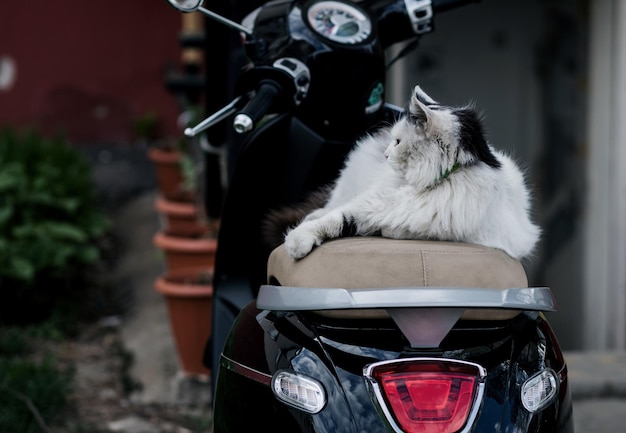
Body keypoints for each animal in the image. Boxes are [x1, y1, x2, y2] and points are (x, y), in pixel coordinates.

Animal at [262, 85, 536, 260]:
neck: (424, 186)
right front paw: (296, 242)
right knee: (328, 206)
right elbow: (334, 220)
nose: (385, 154)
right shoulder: (367, 205)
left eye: (397, 142)